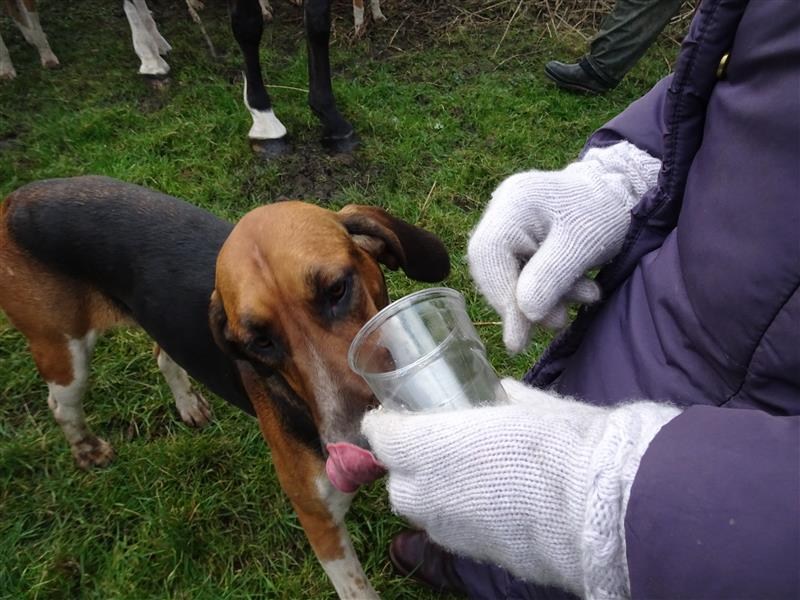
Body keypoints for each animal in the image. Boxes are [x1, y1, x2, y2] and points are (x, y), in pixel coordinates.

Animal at [0, 175, 450, 598]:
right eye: (260, 342)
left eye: (336, 289)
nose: (358, 447)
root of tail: (16, 198)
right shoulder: (318, 518)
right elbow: (357, 588)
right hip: (63, 353)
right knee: (61, 405)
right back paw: (87, 449)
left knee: (162, 355)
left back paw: (187, 405)